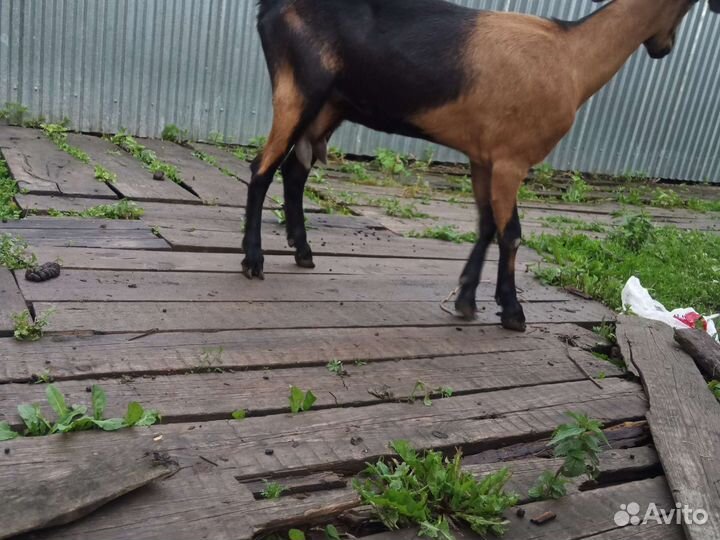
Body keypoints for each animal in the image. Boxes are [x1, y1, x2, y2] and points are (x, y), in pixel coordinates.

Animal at [242, 0, 720, 332]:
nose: (663, 48)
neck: (572, 56)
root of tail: (269, 9)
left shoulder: (483, 157)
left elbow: (487, 225)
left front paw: (467, 299)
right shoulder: (512, 159)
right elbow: (511, 234)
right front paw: (512, 312)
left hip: (328, 105)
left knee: (294, 171)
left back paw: (303, 251)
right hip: (298, 89)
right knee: (261, 168)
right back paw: (253, 260)